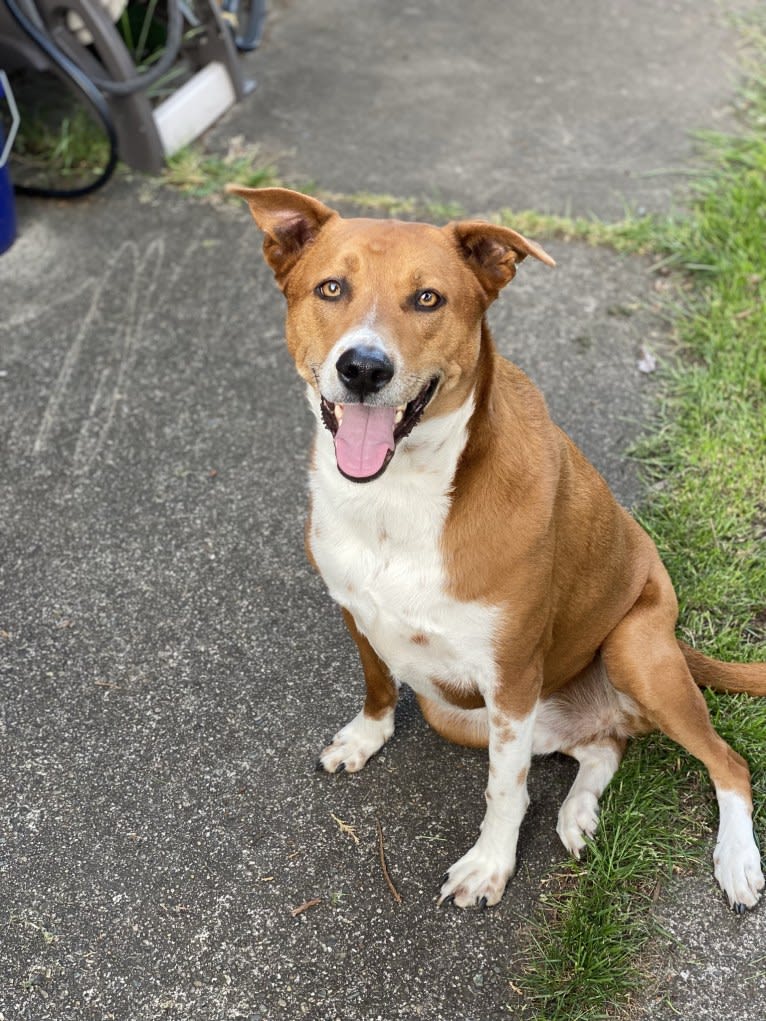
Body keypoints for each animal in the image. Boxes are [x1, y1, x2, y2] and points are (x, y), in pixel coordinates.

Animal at [229, 187, 766, 914]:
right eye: (331, 288)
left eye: (428, 298)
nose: (363, 368)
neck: (397, 496)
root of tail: (675, 644)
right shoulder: (357, 613)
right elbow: (377, 682)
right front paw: (366, 737)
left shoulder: (511, 677)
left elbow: (504, 790)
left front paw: (489, 865)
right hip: (457, 712)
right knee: (603, 744)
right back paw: (579, 811)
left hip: (633, 651)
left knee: (726, 760)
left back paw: (736, 858)